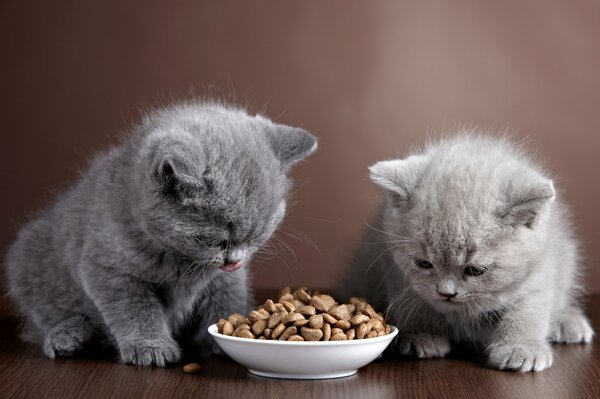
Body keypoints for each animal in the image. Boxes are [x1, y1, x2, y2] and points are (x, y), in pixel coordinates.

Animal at [4, 101, 318, 368]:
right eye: (215, 240)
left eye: (256, 237)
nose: (234, 261)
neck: (183, 262)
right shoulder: (108, 270)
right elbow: (135, 309)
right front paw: (150, 346)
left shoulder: (226, 279)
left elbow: (228, 298)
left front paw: (227, 335)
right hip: (27, 265)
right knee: (45, 319)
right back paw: (68, 336)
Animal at [342, 134, 596, 372]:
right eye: (424, 264)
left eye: (475, 270)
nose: (446, 293)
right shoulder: (394, 266)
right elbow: (414, 302)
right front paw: (422, 336)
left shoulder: (539, 271)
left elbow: (528, 311)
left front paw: (522, 348)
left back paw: (568, 322)